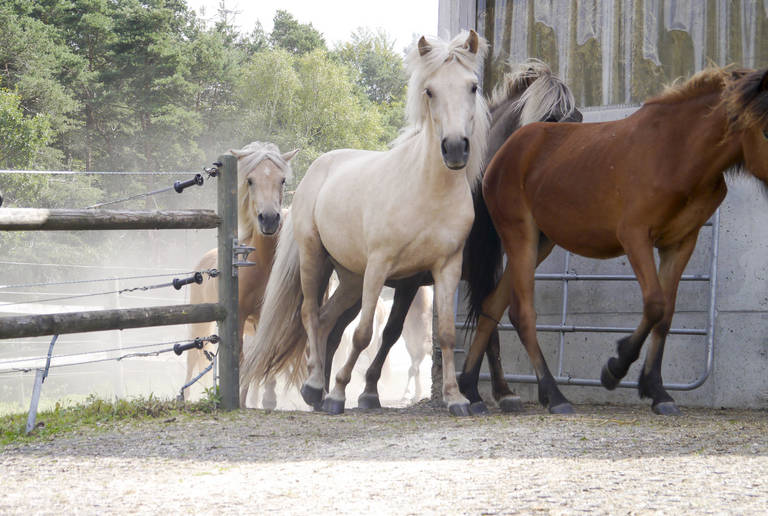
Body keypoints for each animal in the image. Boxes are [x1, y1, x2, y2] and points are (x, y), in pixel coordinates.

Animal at [183, 141, 296, 408]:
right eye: (250, 180)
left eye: (282, 180)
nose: (269, 219)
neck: (260, 266)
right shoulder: (240, 317)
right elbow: (242, 360)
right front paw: (243, 401)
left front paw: (266, 400)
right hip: (199, 324)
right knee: (191, 359)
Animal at [464, 66, 768, 418]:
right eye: (766, 131)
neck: (676, 151)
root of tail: (500, 156)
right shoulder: (635, 237)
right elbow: (654, 304)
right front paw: (616, 368)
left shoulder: (680, 244)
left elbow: (666, 315)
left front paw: (657, 390)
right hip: (520, 237)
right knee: (521, 313)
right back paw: (554, 395)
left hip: (539, 243)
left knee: (491, 305)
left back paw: (471, 389)